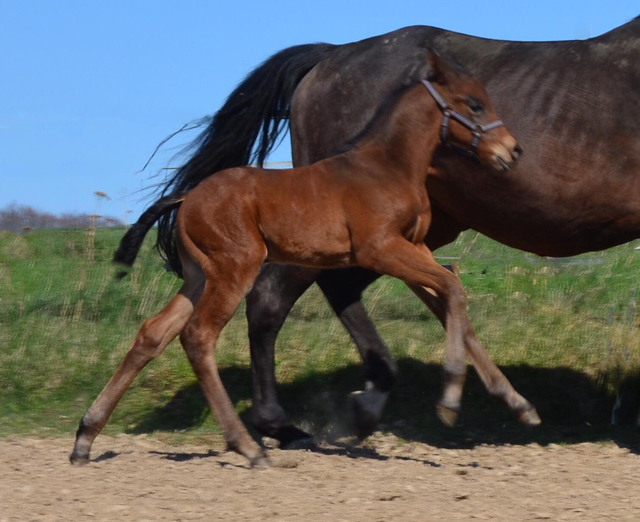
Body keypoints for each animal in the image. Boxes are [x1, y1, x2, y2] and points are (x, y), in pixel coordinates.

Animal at [70, 50, 528, 466]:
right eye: (474, 104)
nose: (512, 151)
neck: (387, 167)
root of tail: (186, 198)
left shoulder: (415, 248)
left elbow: (452, 296)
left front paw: (515, 402)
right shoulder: (380, 249)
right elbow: (452, 286)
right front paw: (449, 400)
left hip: (199, 276)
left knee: (153, 334)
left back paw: (85, 438)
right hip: (235, 268)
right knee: (198, 336)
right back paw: (250, 448)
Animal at [148, 18, 636, 444]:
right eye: (475, 104)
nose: (514, 152)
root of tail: (327, 57)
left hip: (402, 236)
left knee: (371, 288)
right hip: (333, 235)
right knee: (274, 296)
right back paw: (283, 423)